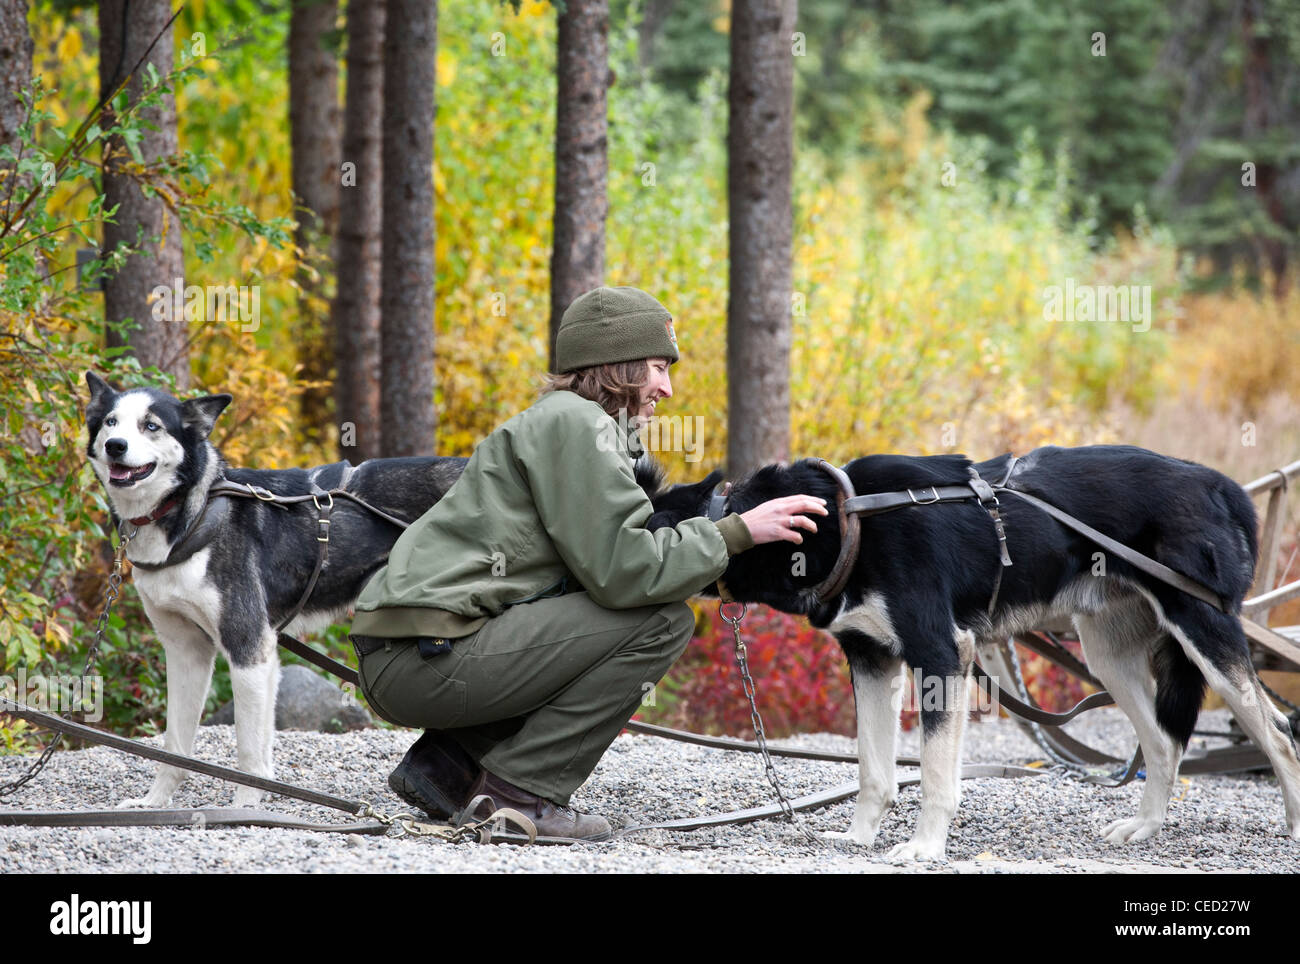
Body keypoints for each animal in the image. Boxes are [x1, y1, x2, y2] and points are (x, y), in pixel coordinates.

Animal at [647, 444, 1300, 862]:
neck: (845, 516)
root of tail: (1223, 486)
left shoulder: (941, 657)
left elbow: (935, 772)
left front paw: (924, 847)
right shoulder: (872, 662)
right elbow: (873, 771)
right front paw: (859, 838)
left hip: (1204, 630)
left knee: (1278, 733)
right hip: (1107, 656)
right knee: (1163, 744)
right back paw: (1142, 827)